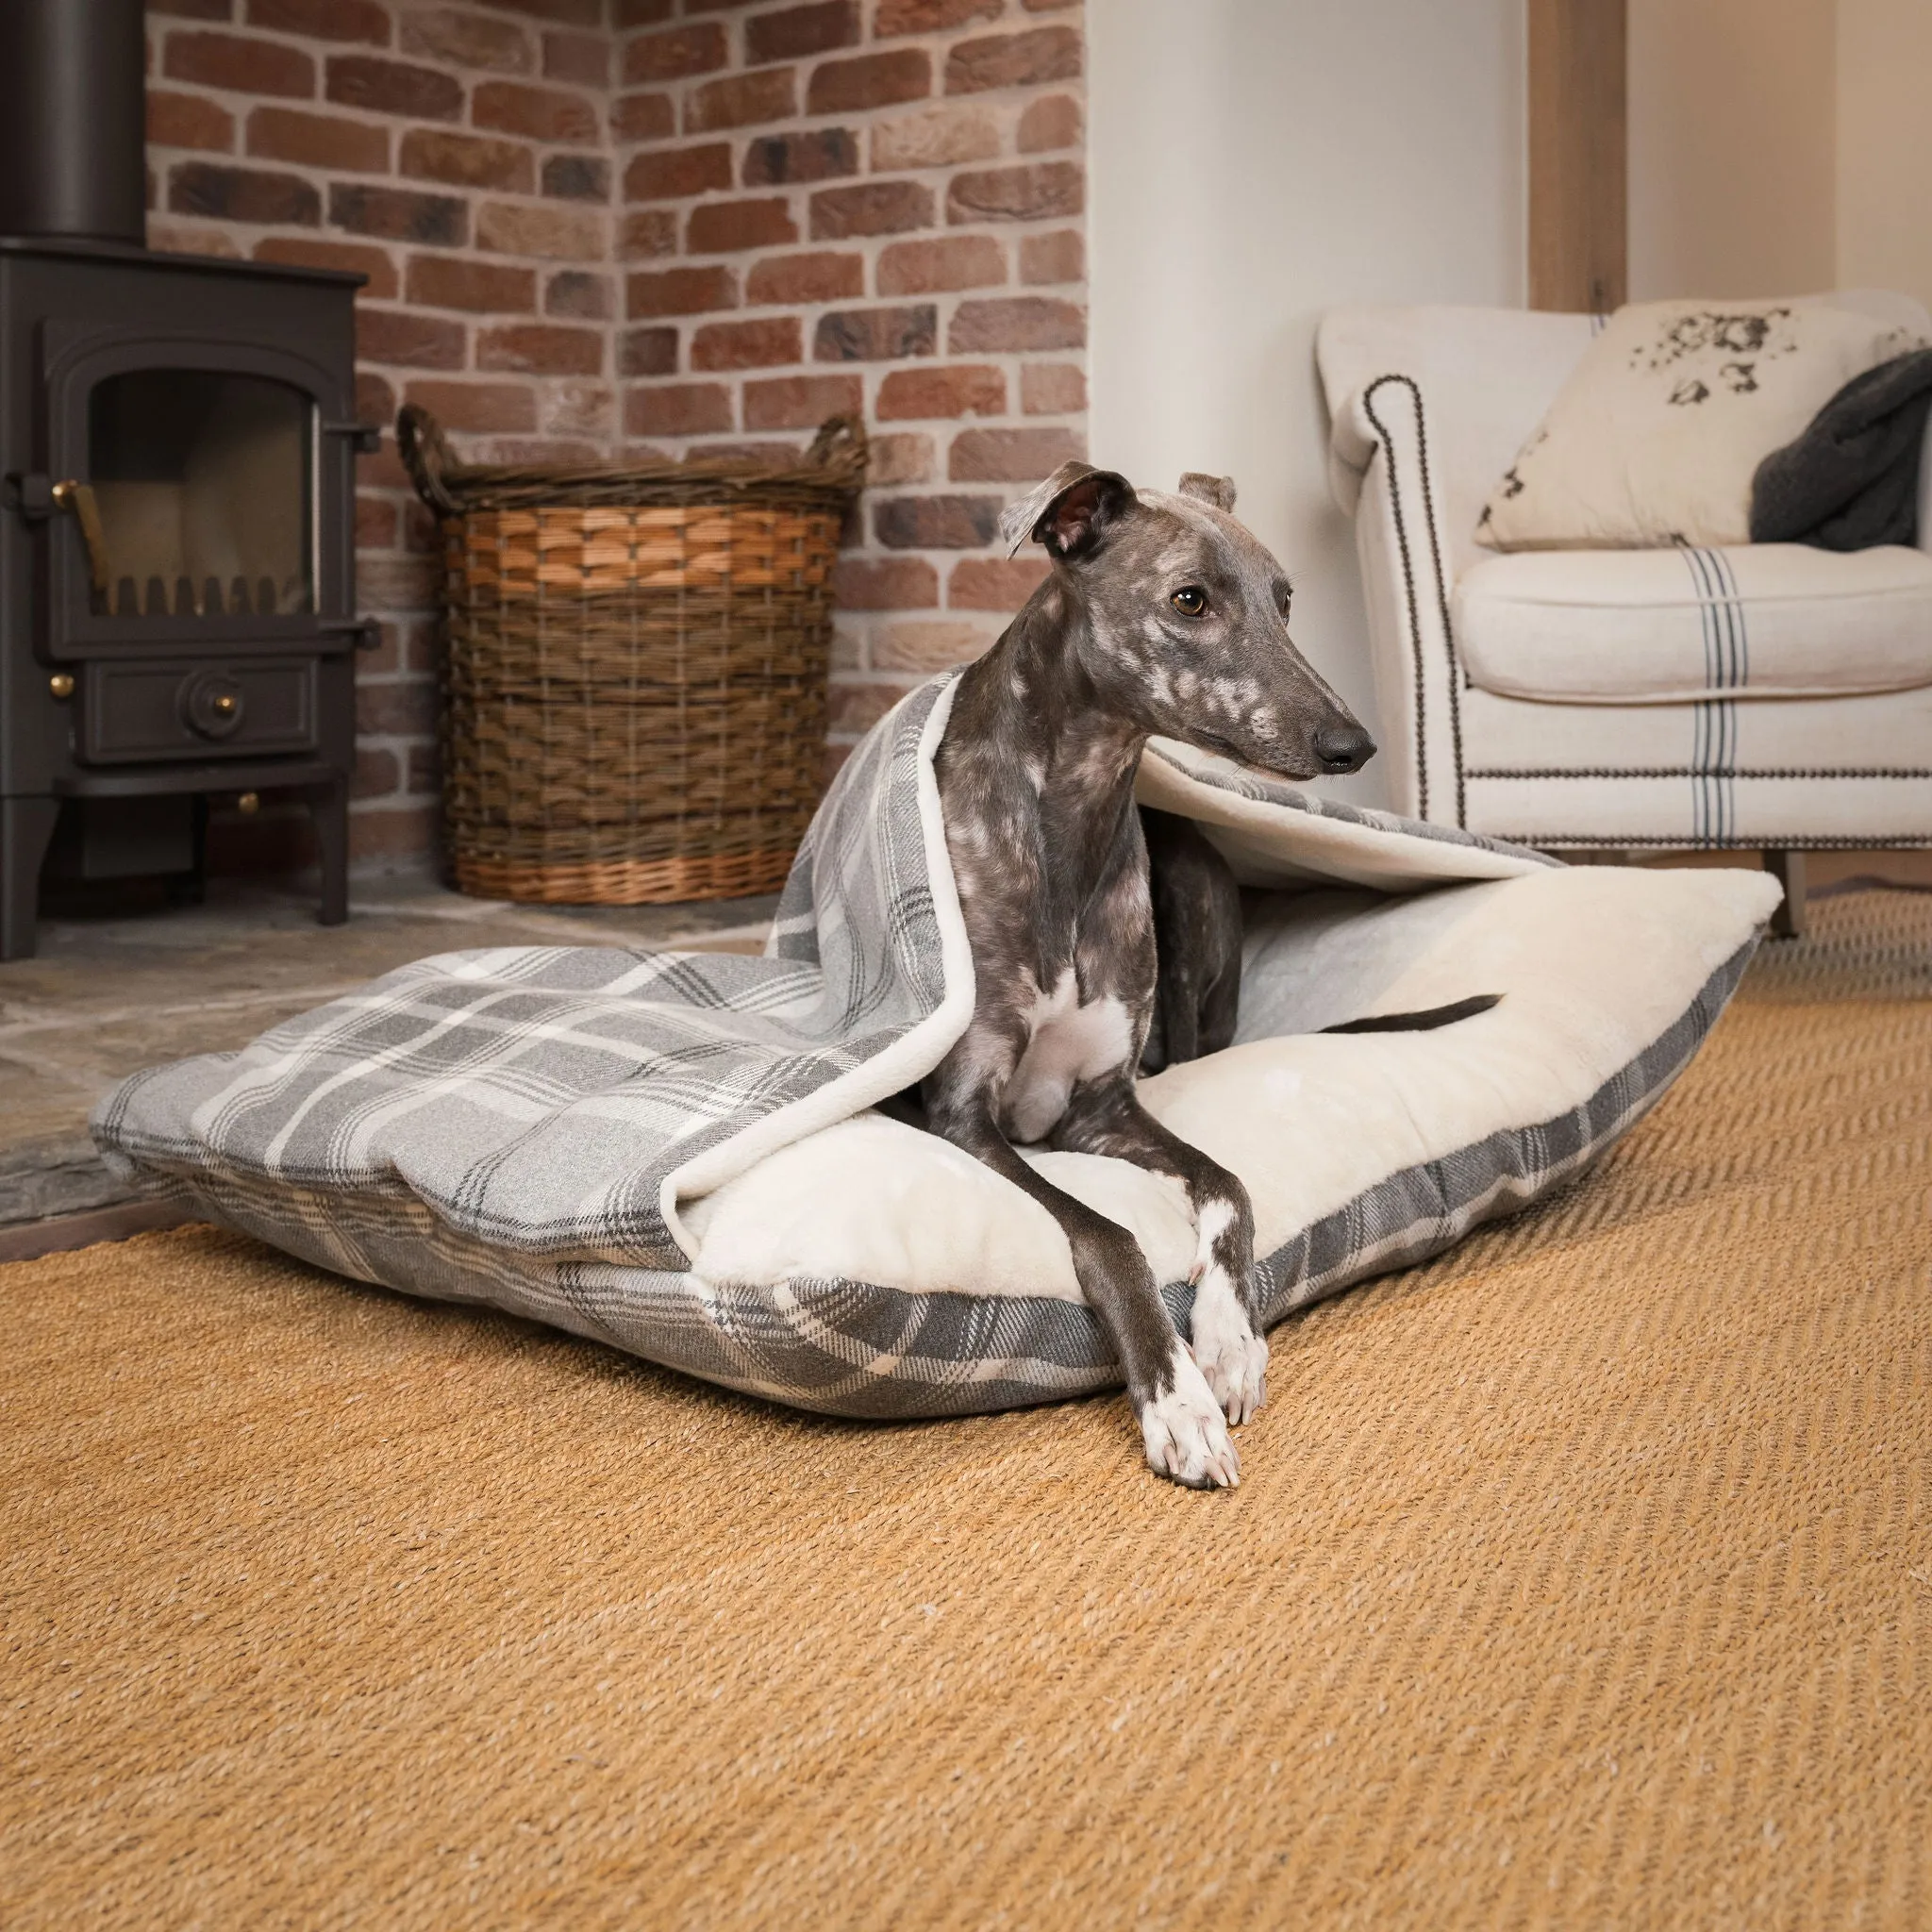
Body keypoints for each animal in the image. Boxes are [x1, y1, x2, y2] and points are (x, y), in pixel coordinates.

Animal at [919, 463, 1375, 1491]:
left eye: (1286, 599)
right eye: (1189, 600)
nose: (1351, 744)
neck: (1072, 815)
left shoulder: (1102, 1104)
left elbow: (1227, 1184)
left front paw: (1229, 1341)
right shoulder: (959, 1114)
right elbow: (1109, 1235)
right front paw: (1177, 1401)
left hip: (1197, 880)